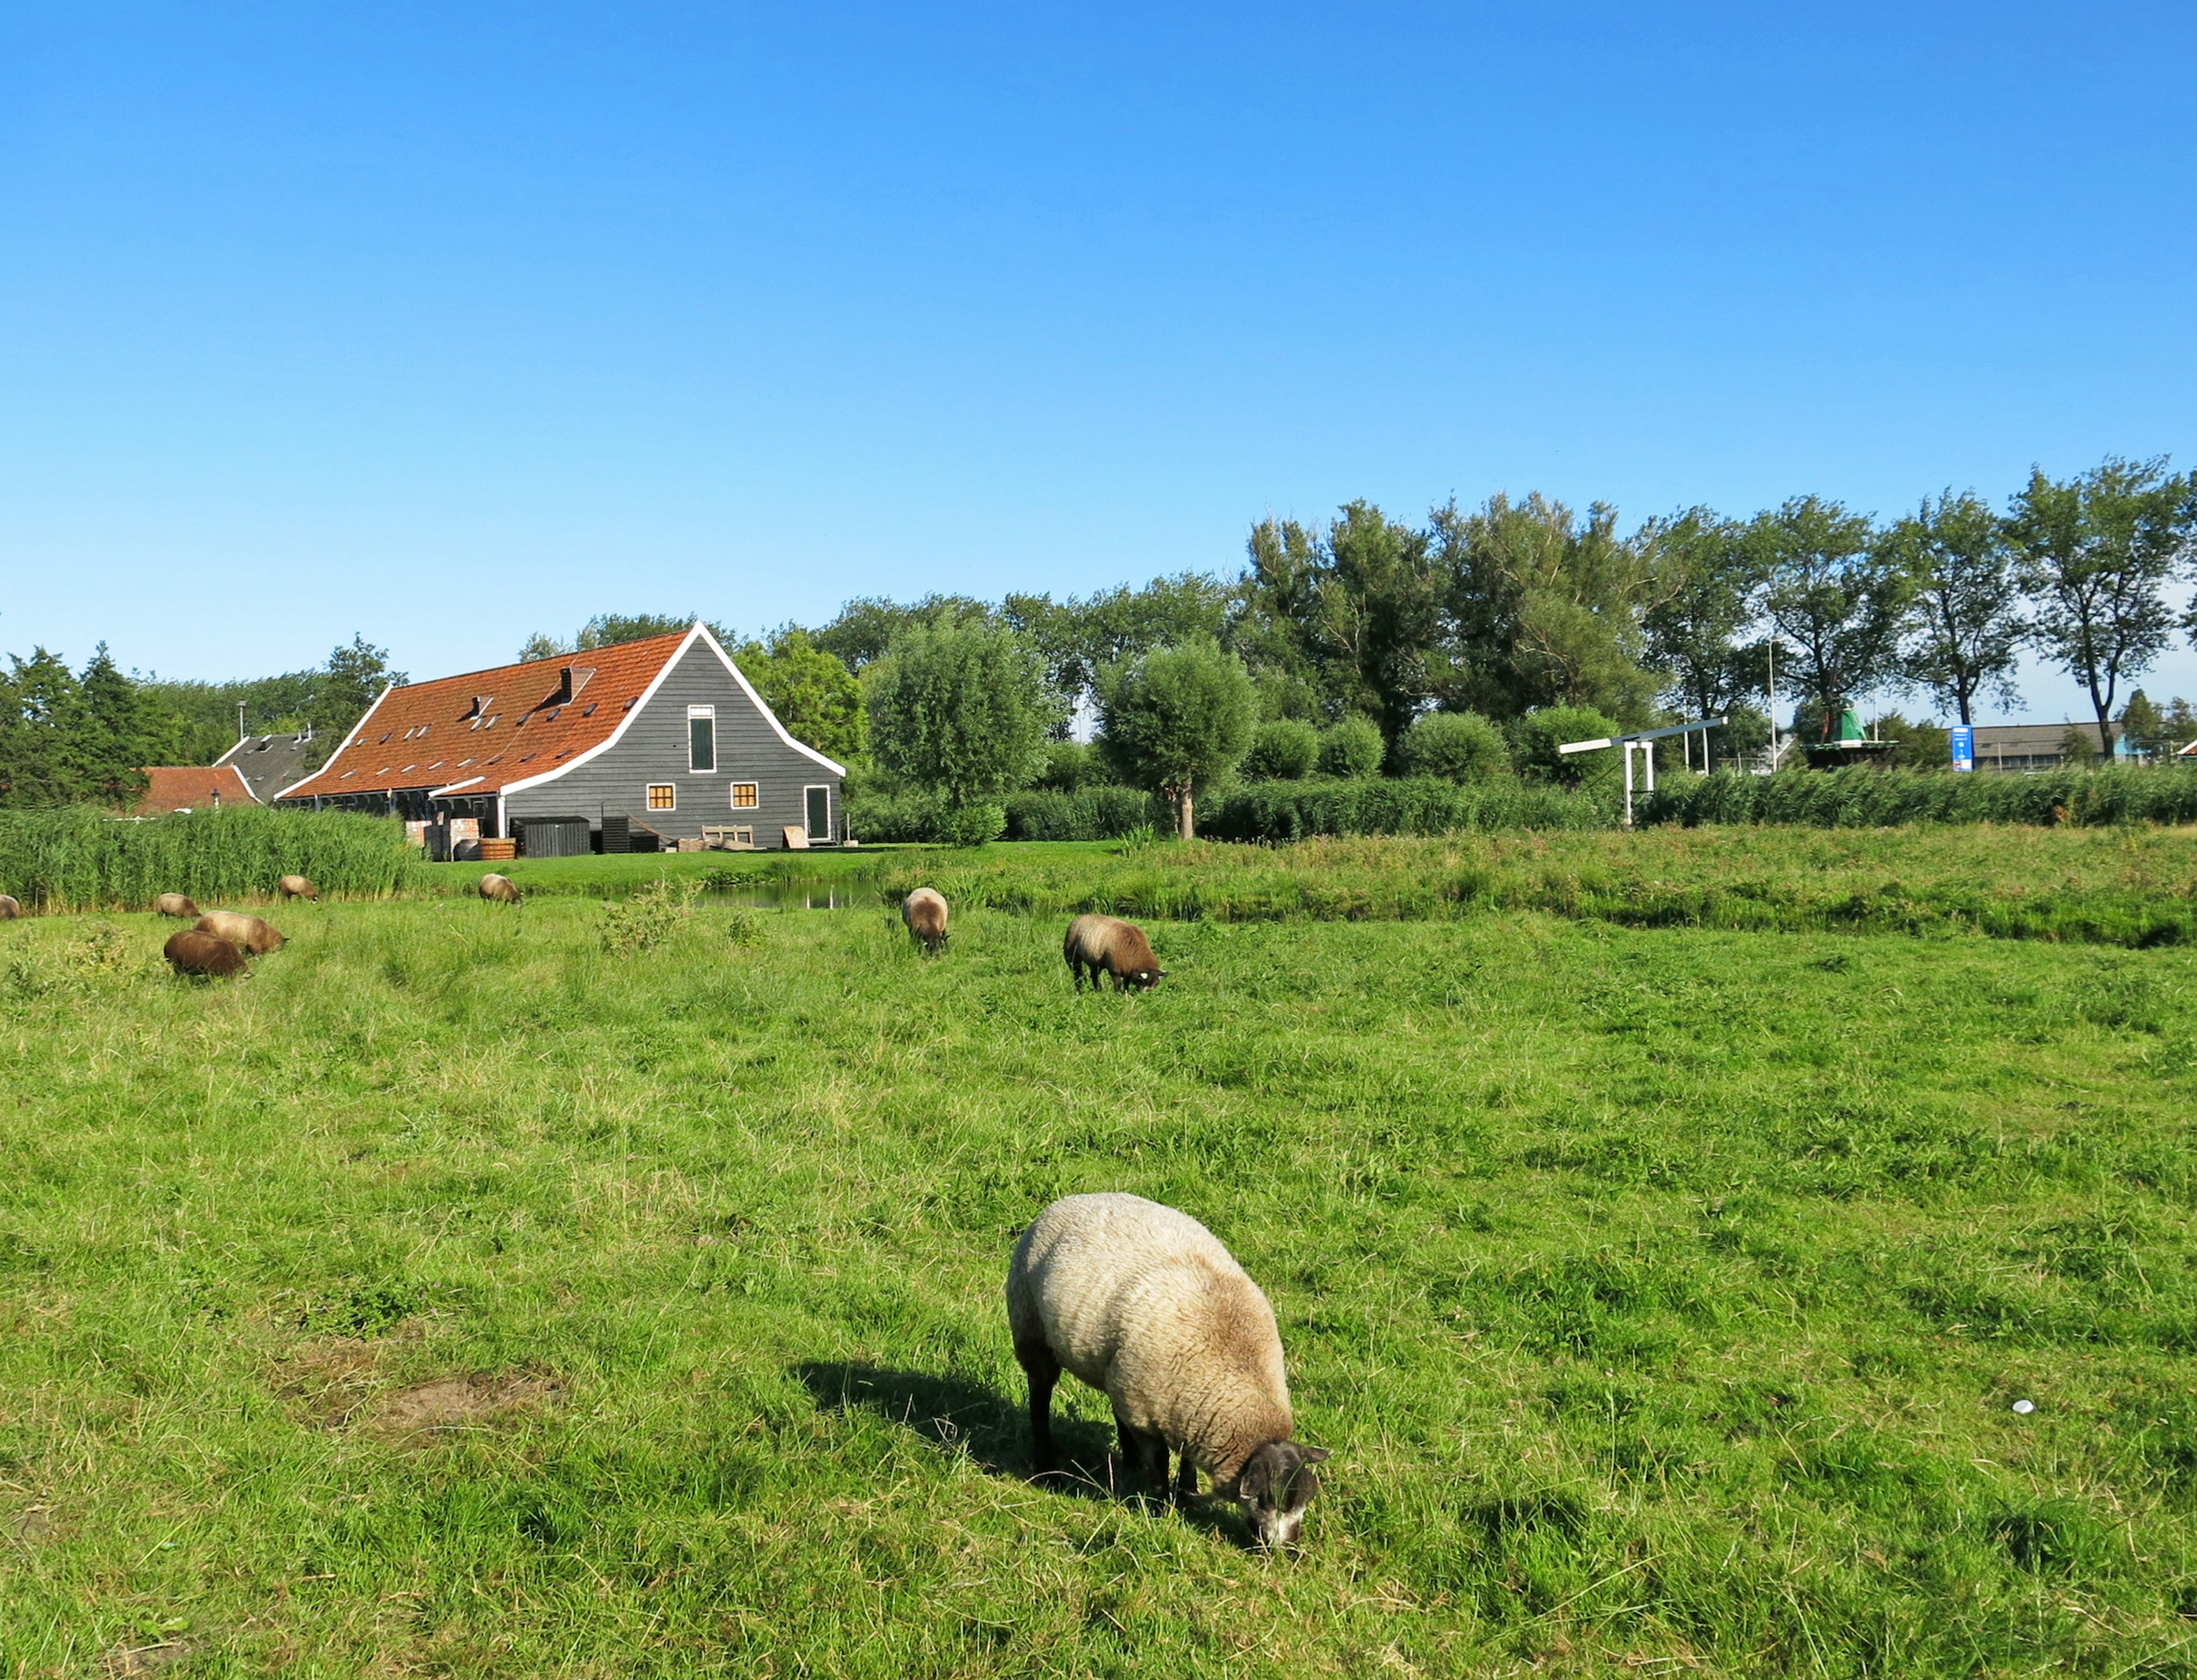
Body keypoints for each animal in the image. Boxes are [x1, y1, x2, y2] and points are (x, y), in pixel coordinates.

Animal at [1006, 1194, 1327, 1546]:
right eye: (1267, 1498)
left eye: (1306, 1500)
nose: (1290, 1548)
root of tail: (1074, 1199)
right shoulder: (1147, 1415)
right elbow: (1159, 1461)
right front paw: (1160, 1506)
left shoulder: (1187, 1410)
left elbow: (1185, 1455)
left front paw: (1187, 1492)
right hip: (1031, 1328)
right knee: (1040, 1395)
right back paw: (1047, 1468)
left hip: (1118, 1370)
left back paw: (1130, 1463)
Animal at [1063, 909, 1168, 988]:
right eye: (1143, 982)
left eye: (1156, 985)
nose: (1144, 996)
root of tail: (1078, 918)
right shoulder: (1115, 970)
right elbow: (1118, 984)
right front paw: (1119, 996)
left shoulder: (1127, 971)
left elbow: (1126, 985)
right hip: (1072, 955)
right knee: (1077, 973)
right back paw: (1080, 989)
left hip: (1096, 961)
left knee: (1094, 976)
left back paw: (1098, 990)